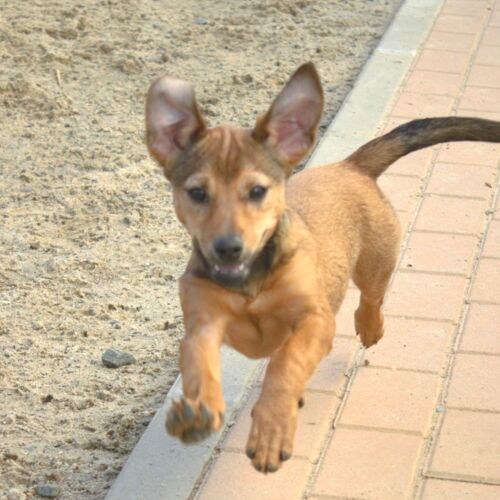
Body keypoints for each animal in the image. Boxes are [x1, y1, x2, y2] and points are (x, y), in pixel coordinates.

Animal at [145, 63, 500, 473]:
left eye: (257, 191)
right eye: (197, 193)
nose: (228, 248)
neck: (252, 284)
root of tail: (349, 166)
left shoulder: (314, 319)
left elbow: (285, 364)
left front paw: (271, 430)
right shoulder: (202, 324)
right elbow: (199, 363)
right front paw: (198, 412)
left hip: (374, 263)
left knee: (372, 299)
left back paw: (369, 327)